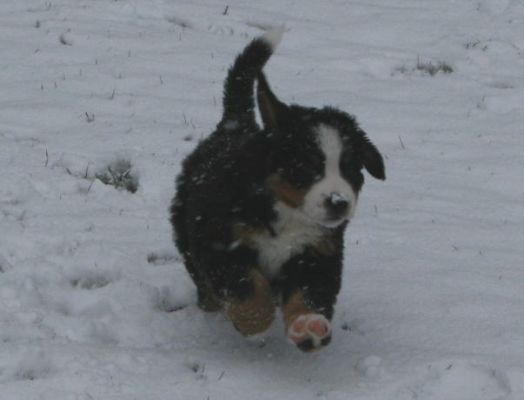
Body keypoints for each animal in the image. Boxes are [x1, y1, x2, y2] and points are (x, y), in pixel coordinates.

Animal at [172, 28, 384, 352]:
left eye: (350, 169)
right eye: (307, 166)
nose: (338, 202)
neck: (286, 211)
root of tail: (235, 124)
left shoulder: (318, 252)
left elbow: (310, 293)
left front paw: (308, 325)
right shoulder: (220, 240)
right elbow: (245, 284)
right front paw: (255, 322)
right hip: (187, 232)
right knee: (206, 286)